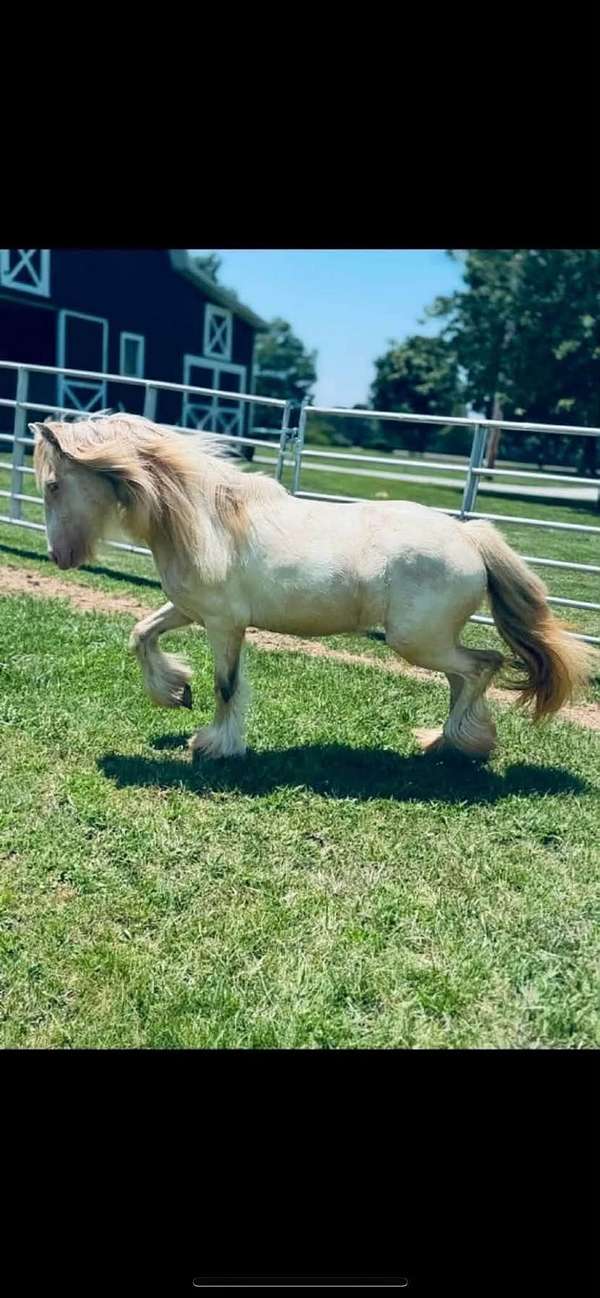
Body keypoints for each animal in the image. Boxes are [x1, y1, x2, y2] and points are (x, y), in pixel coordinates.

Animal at [31, 413, 596, 762]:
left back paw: (457, 743)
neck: (207, 518)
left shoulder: (223, 625)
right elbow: (141, 633)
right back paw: (446, 743)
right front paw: (174, 693)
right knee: (464, 678)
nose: (59, 558)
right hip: (429, 643)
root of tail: (470, 536)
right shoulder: (190, 610)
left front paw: (213, 744)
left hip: (418, 640)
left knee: (482, 667)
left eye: (53, 484)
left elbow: (226, 685)